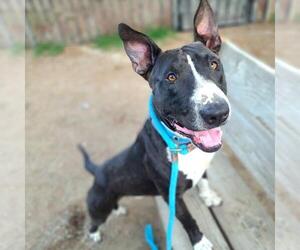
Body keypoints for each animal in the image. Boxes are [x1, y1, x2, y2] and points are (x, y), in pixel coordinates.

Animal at [79, 0, 230, 249]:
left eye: (214, 64)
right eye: (171, 77)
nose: (218, 113)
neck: (182, 146)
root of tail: (98, 170)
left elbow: (205, 181)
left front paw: (208, 196)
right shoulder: (172, 197)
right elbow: (188, 219)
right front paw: (199, 242)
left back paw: (118, 209)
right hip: (99, 204)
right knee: (95, 220)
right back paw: (94, 235)